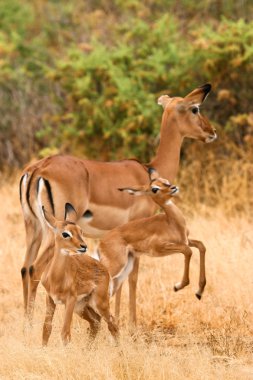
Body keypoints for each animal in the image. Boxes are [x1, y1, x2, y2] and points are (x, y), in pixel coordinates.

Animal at [39, 203, 118, 346]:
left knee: (112, 323)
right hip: (81, 307)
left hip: (99, 303)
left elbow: (65, 333)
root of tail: (105, 269)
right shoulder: (51, 298)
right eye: (65, 233)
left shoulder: (70, 300)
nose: (83, 246)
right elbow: (47, 328)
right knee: (96, 323)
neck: (56, 279)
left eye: (80, 231)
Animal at [98, 169, 207, 318]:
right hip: (115, 266)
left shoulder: (186, 240)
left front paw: (199, 292)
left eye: (165, 181)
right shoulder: (160, 248)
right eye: (154, 189)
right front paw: (178, 286)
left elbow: (201, 246)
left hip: (125, 266)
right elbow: (188, 251)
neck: (172, 223)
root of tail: (101, 242)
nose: (173, 188)